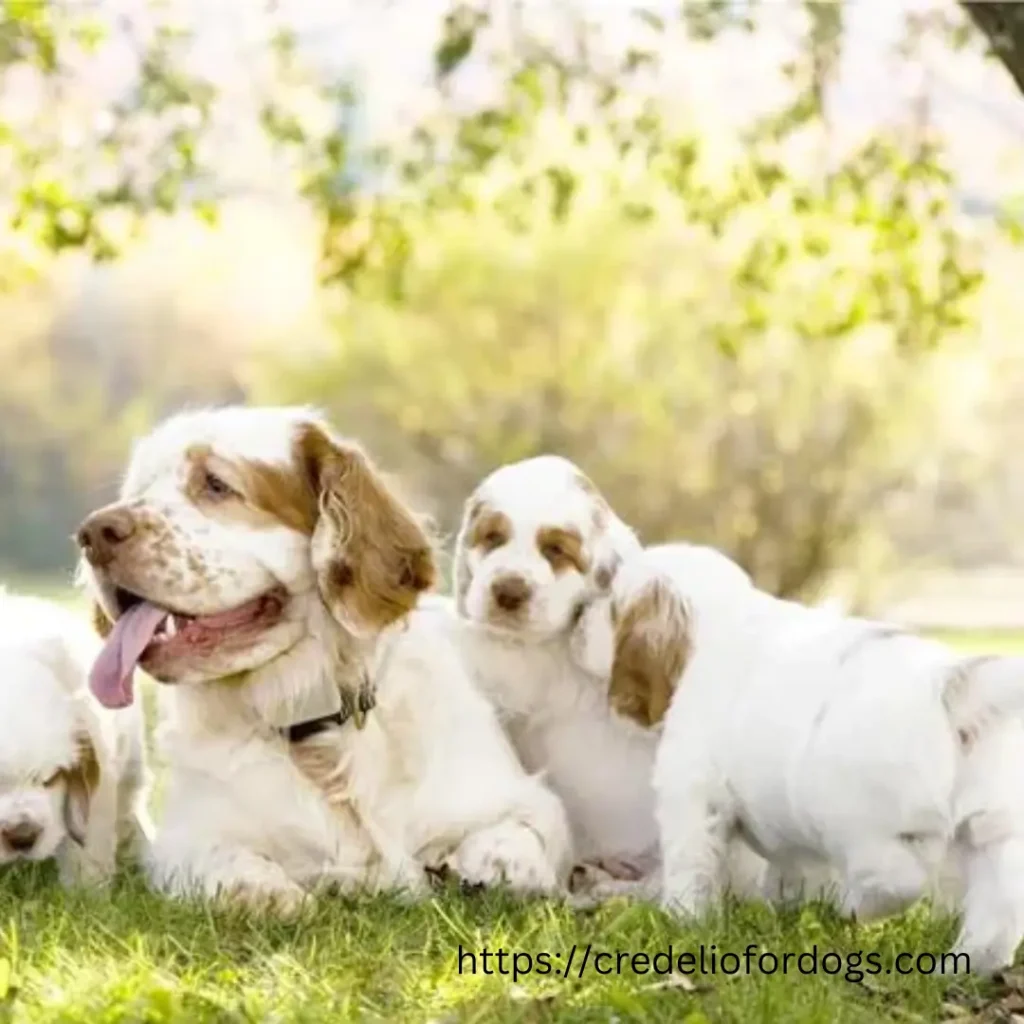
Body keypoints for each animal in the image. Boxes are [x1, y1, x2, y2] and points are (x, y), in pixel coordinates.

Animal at [75, 407, 573, 913]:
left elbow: (520, 837)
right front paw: (271, 893)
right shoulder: (185, 838)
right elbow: (226, 862)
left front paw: (487, 867)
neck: (316, 730)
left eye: (215, 484)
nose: (93, 534)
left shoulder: (525, 800)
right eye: (138, 490)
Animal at [598, 540, 1024, 970]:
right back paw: (963, 965)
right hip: (991, 830)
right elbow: (792, 870)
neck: (723, 618)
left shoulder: (691, 794)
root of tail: (951, 687)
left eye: (613, 607)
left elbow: (691, 865)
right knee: (998, 913)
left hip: (863, 828)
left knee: (899, 881)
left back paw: (857, 908)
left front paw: (683, 921)